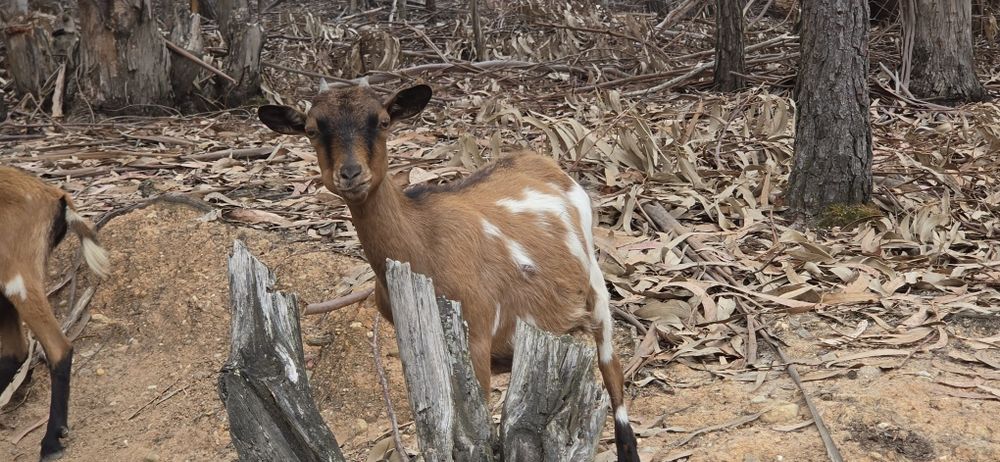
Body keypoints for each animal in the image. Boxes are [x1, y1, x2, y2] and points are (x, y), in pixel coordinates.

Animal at [259, 83, 640, 461]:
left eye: (383, 121)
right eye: (311, 130)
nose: (351, 173)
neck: (422, 239)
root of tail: (541, 161)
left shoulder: (477, 336)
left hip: (595, 284)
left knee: (612, 371)